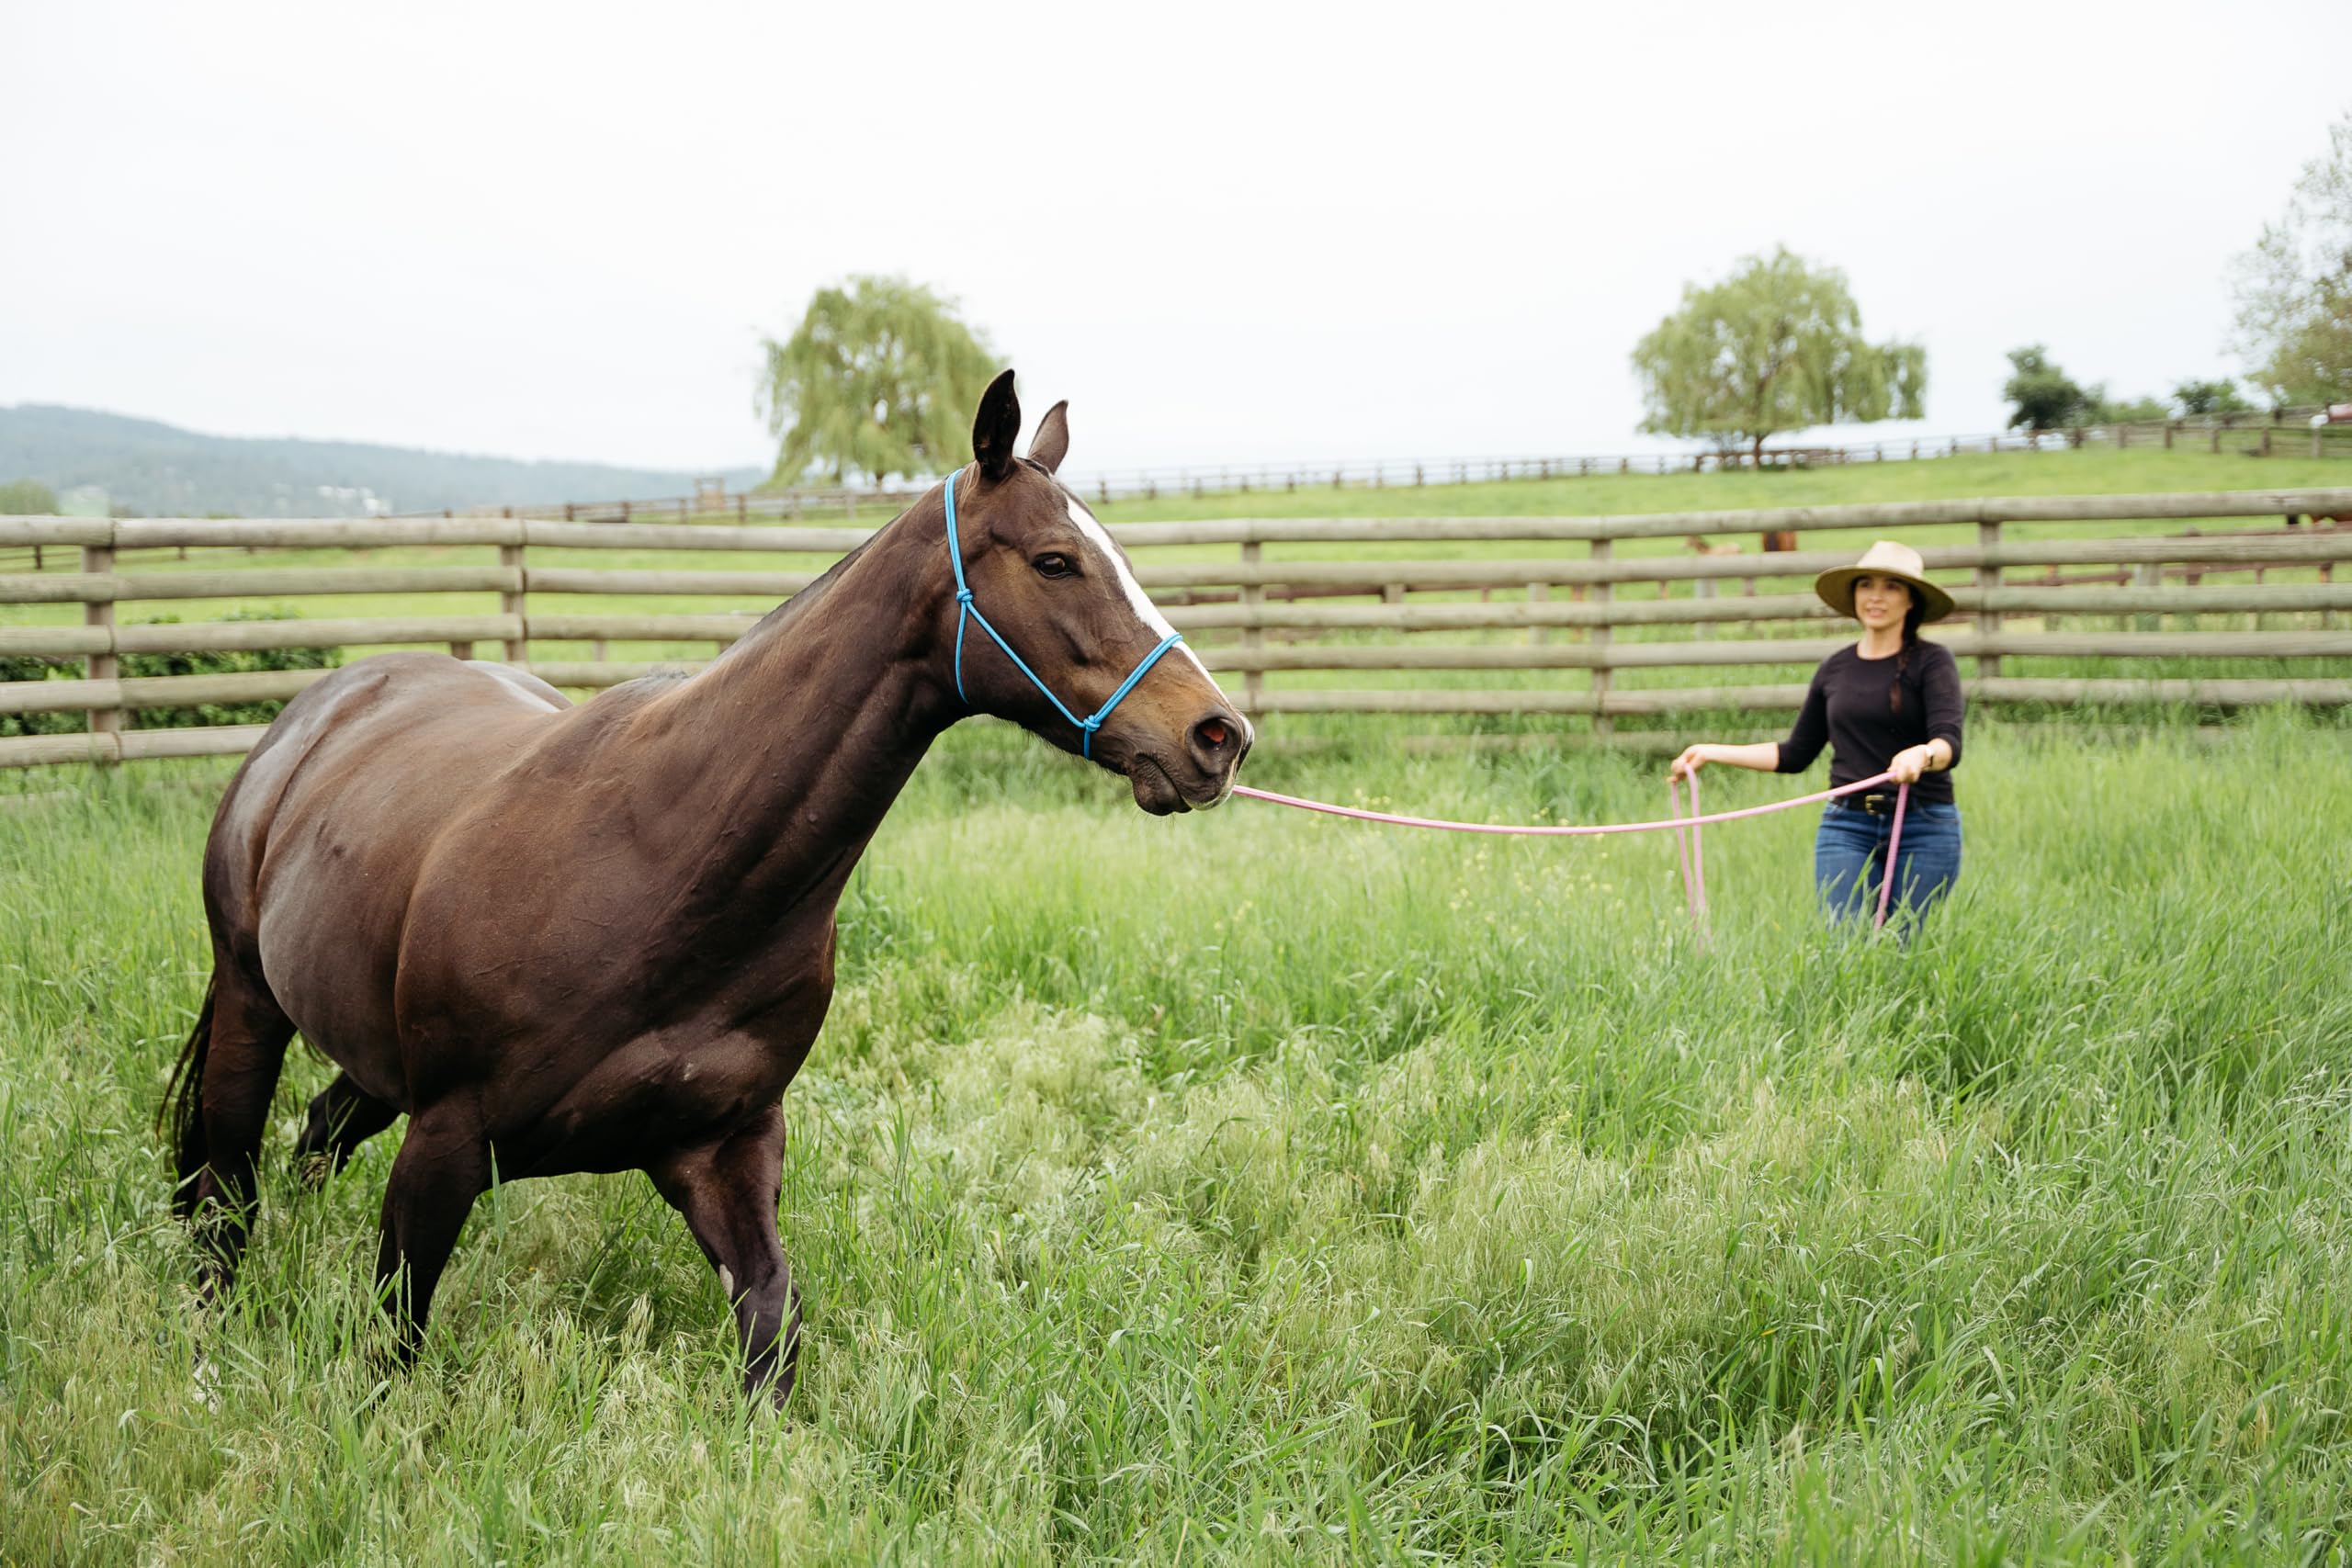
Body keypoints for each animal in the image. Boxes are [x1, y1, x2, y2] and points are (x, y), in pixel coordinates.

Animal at [163, 370, 1250, 1407]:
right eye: (1056, 561)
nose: (1217, 734)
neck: (662, 861)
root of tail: (316, 713)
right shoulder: (446, 1141)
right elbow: (394, 1339)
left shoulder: (721, 1147)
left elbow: (772, 1324)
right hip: (253, 1008)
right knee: (226, 1198)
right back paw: (207, 1361)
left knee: (315, 1135)